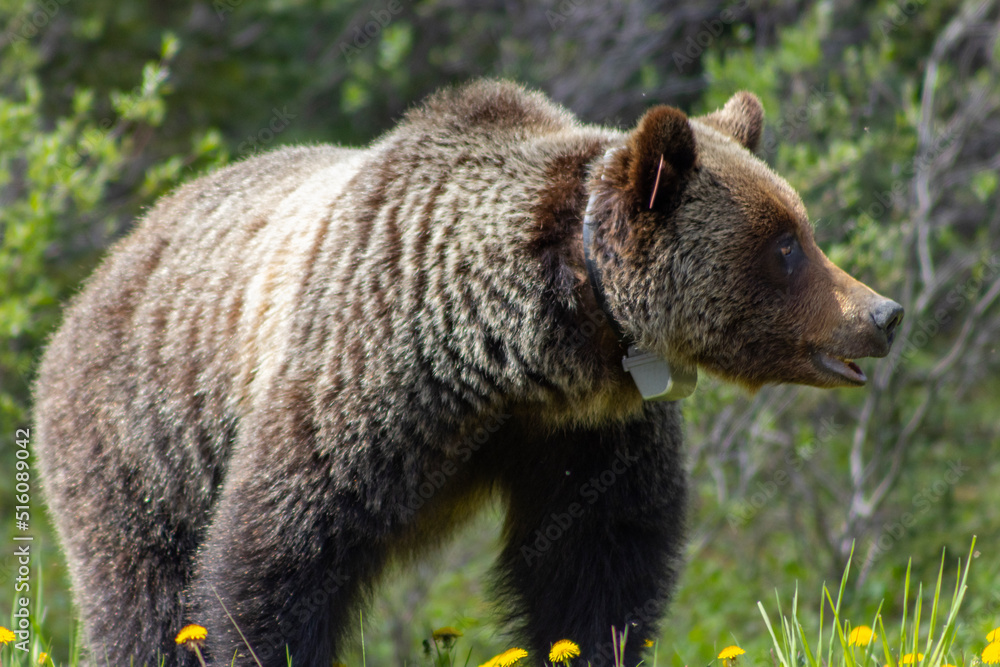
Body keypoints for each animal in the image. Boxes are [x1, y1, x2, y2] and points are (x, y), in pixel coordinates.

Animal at [33, 80, 903, 667]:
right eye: (787, 246)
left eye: (802, 230)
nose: (884, 312)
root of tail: (105, 268)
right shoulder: (362, 377)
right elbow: (275, 552)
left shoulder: (592, 429)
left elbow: (598, 559)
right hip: (142, 437)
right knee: (141, 595)